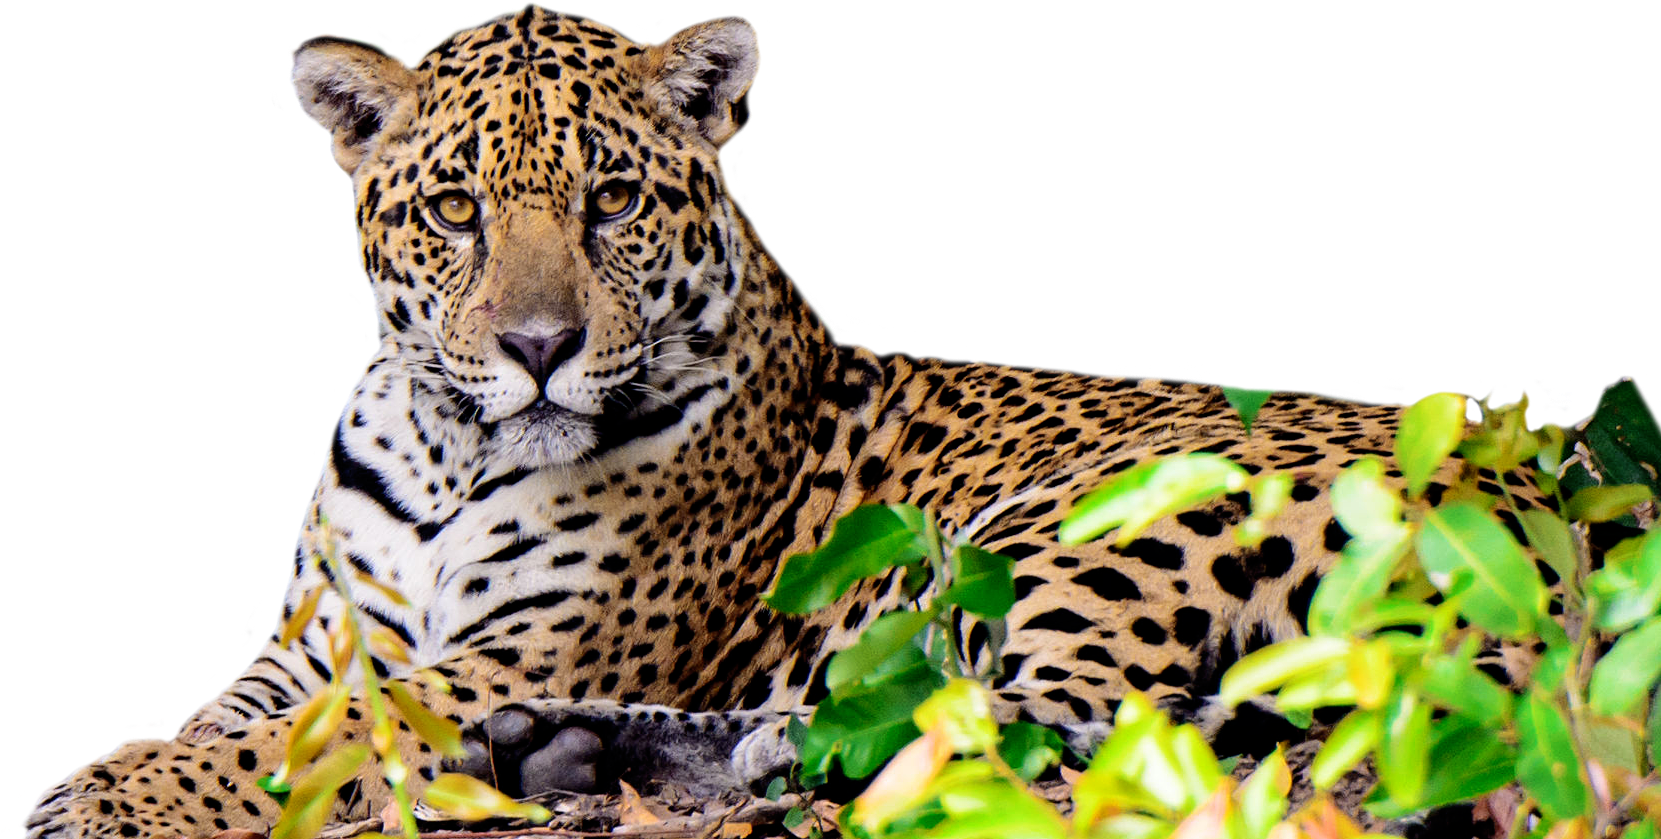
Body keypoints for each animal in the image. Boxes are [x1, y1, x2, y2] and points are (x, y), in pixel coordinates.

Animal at [23, 7, 1557, 837]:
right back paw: (564, 751)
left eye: (613, 202)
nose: (536, 349)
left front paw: (120, 797)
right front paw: (120, 767)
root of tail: (1540, 491)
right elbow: (236, 714)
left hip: (1087, 524)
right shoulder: (316, 635)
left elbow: (319, 731)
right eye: (454, 209)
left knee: (1023, 732)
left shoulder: (522, 638)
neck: (454, 450)